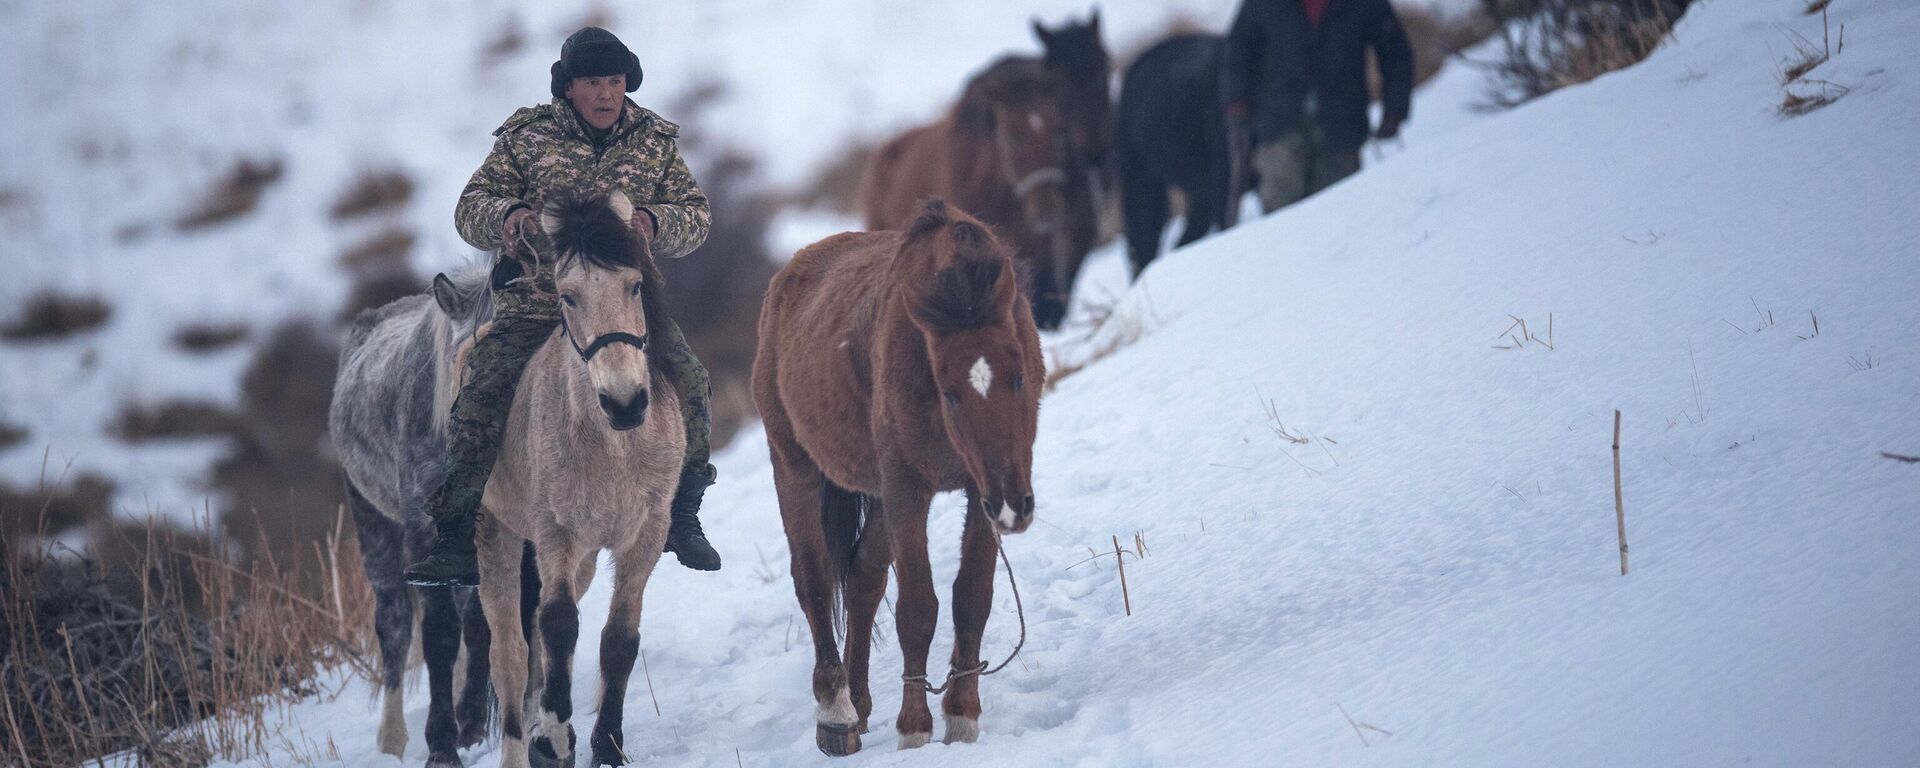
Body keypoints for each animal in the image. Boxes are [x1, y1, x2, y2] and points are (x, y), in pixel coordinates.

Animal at [752, 199, 1052, 756]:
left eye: (1020, 377)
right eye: (950, 393)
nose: (1014, 507)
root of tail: (788, 275)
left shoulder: (979, 491)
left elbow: (971, 598)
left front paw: (961, 715)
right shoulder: (907, 489)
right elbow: (917, 609)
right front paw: (915, 726)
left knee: (862, 577)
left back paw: (860, 703)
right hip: (796, 466)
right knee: (815, 582)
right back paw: (837, 714)